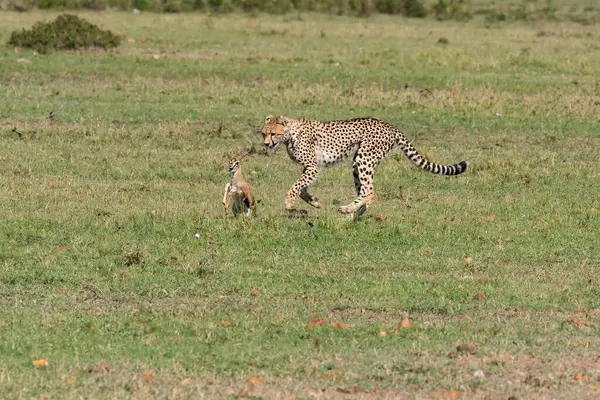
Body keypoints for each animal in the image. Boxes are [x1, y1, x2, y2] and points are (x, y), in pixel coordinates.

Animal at [262, 115, 468, 214]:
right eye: (263, 133)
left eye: (273, 133)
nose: (265, 144)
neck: (290, 133)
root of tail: (388, 125)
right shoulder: (310, 167)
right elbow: (303, 187)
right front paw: (313, 201)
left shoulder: (313, 166)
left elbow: (297, 185)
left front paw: (289, 202)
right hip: (358, 163)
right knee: (365, 192)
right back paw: (357, 211)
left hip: (364, 158)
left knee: (370, 191)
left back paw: (348, 209)